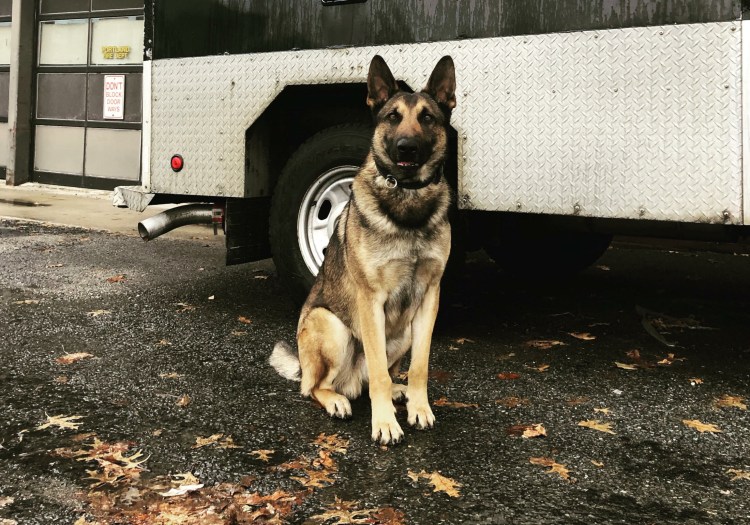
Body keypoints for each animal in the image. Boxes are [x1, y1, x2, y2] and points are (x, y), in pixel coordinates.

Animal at [272, 56, 458, 442]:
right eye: (393, 116)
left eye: (427, 118)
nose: (406, 147)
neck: (408, 202)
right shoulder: (371, 301)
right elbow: (380, 375)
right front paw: (385, 423)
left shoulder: (429, 298)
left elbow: (419, 366)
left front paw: (419, 408)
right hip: (332, 325)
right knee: (316, 387)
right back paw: (336, 400)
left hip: (403, 332)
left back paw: (399, 393)